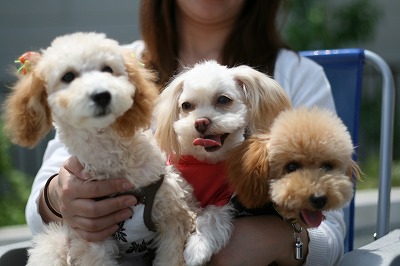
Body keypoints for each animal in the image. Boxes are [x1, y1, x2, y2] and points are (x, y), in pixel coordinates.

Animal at [2, 32, 203, 266]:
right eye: (68, 76)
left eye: (108, 69)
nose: (102, 95)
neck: (116, 163)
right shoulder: (92, 240)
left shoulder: (173, 216)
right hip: (54, 245)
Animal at [154, 60, 290, 266]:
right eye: (186, 105)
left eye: (224, 100)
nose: (201, 122)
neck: (205, 163)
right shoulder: (179, 195)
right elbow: (173, 237)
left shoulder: (224, 196)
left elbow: (211, 217)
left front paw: (197, 248)